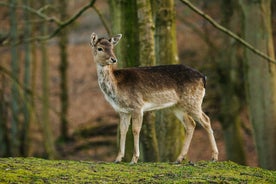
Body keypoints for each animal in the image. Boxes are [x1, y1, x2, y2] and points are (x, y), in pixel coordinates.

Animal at [89, 32, 219, 165]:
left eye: (112, 47)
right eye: (100, 48)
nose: (113, 59)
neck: (116, 87)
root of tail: (203, 77)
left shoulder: (137, 105)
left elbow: (135, 130)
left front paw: (134, 159)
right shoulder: (122, 111)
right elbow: (123, 130)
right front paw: (118, 158)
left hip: (193, 100)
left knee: (206, 120)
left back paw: (214, 157)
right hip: (177, 106)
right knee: (191, 124)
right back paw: (178, 159)